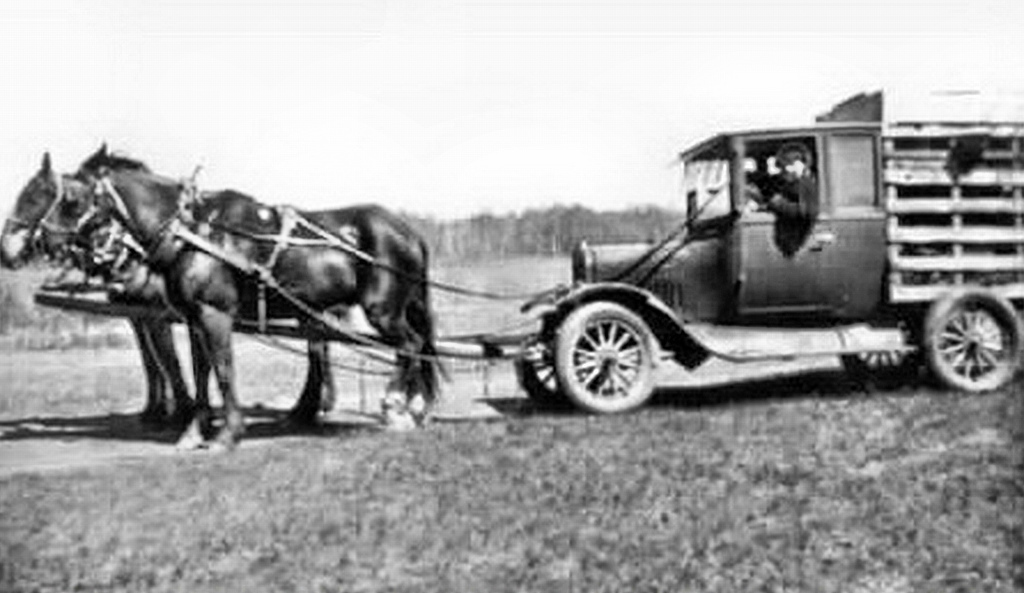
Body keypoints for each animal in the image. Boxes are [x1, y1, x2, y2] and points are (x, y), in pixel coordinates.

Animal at [74, 145, 438, 450]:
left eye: (71, 198)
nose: (69, 248)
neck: (195, 234)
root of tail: (408, 231)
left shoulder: (215, 314)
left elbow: (223, 370)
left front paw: (227, 433)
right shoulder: (195, 318)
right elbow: (202, 373)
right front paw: (194, 432)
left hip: (383, 310)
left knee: (410, 344)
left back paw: (394, 407)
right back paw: (412, 407)